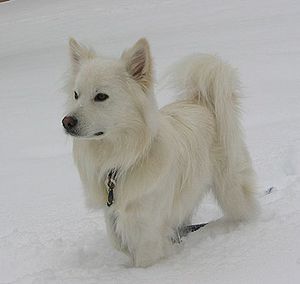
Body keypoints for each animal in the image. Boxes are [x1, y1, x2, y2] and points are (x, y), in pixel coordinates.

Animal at [62, 37, 258, 266]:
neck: (121, 160)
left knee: (245, 211)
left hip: (231, 189)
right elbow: (118, 243)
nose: (66, 122)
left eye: (101, 96)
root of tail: (201, 102)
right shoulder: (112, 215)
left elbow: (144, 259)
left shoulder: (147, 228)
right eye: (76, 95)